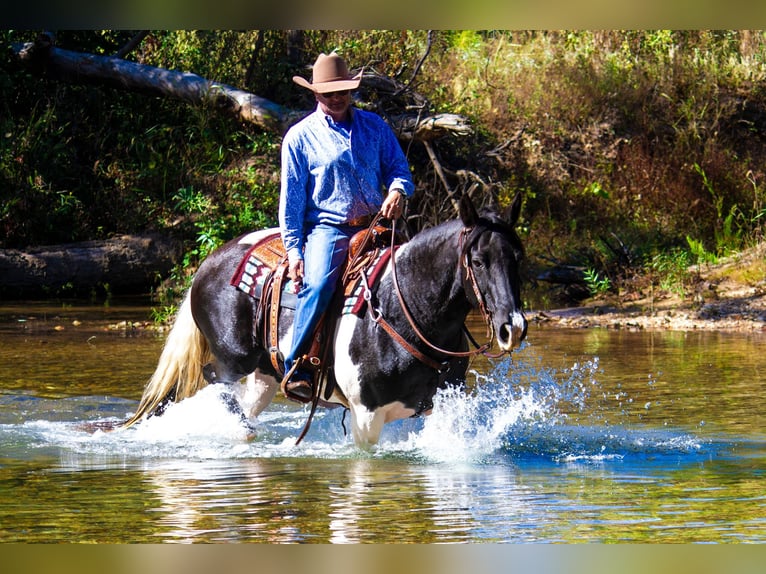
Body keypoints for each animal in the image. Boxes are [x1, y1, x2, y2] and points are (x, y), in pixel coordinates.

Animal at [121, 196, 528, 448]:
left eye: (518, 258)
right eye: (478, 261)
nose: (513, 327)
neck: (406, 310)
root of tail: (208, 263)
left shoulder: (439, 407)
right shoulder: (366, 415)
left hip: (264, 375)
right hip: (233, 359)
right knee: (214, 380)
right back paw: (240, 431)